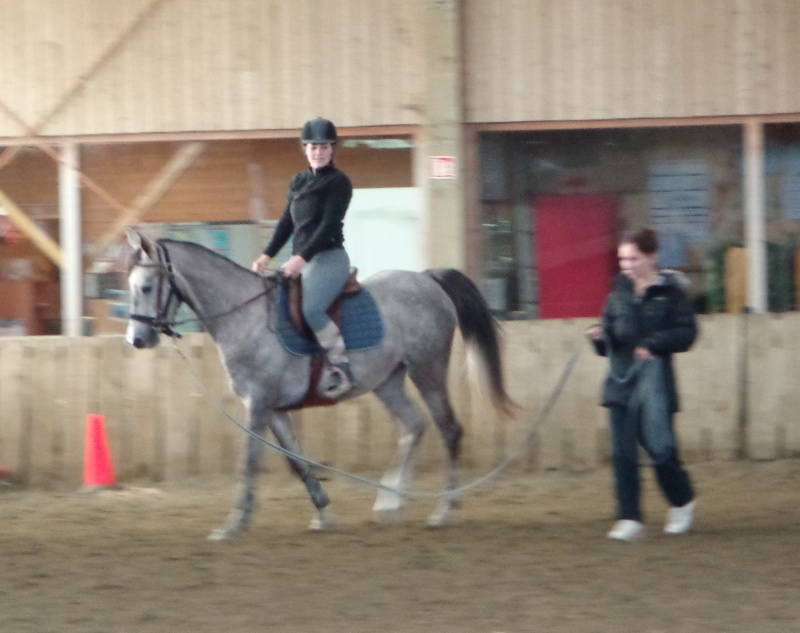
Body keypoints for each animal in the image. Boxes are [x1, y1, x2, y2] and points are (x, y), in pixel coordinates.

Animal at [123, 230, 512, 536]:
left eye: (146, 287)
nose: (137, 339)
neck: (244, 315)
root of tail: (427, 279)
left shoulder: (257, 404)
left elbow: (248, 462)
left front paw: (233, 523)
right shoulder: (275, 409)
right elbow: (297, 461)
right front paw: (323, 514)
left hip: (428, 370)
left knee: (449, 430)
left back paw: (443, 510)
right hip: (388, 380)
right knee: (414, 426)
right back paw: (389, 503)